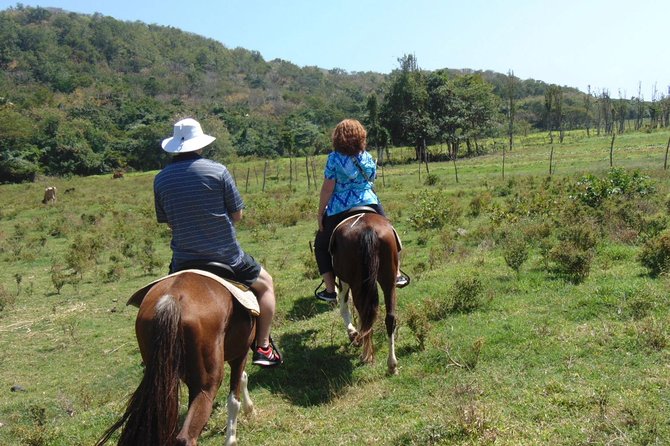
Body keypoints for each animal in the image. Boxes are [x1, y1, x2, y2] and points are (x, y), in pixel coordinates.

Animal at [97, 272, 258, 446]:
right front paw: (233, 437)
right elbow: (234, 398)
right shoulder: (240, 354)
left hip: (165, 380)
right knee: (187, 436)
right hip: (207, 385)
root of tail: (172, 297)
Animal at [330, 211, 400, 374]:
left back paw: (365, 355)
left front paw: (353, 334)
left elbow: (343, 306)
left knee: (364, 314)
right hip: (388, 279)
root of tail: (368, 230)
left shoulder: (343, 281)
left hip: (357, 283)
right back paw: (392, 364)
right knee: (389, 318)